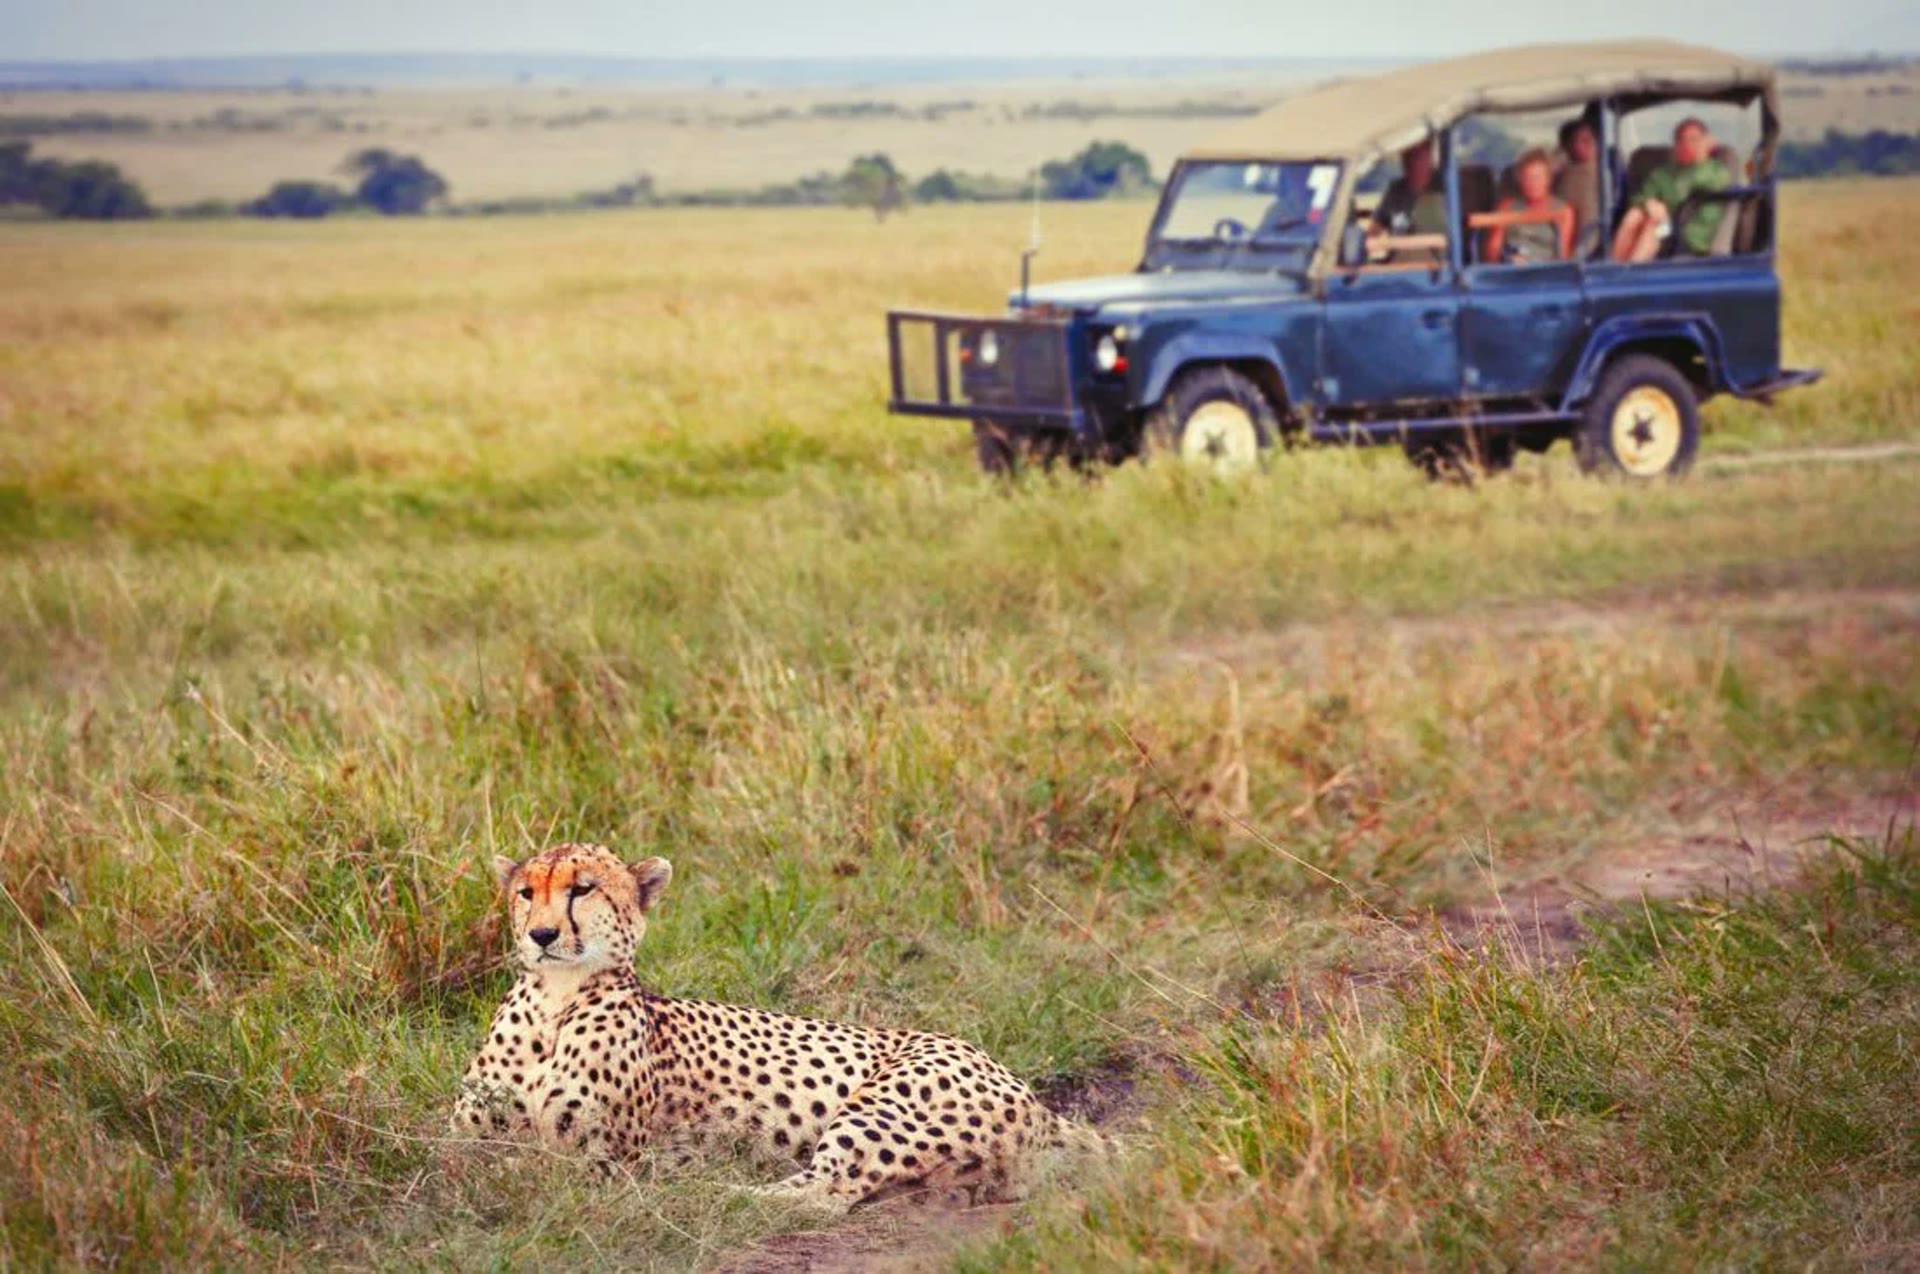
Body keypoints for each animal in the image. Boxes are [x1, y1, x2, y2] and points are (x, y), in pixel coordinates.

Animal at [451, 843, 1106, 1212]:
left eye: (582, 890)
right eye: (525, 892)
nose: (541, 935)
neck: (553, 1001)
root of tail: (1035, 1100)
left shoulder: (605, 1156)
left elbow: (539, 1168)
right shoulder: (467, 1132)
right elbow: (455, 1159)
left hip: (882, 1107)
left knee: (826, 1194)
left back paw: (711, 1188)